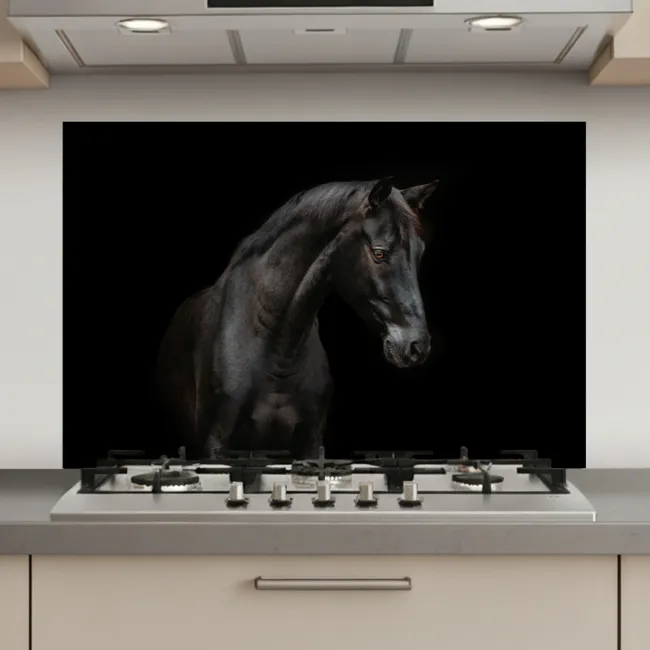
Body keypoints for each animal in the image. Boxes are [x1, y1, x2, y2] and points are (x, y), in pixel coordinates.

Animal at [155, 177, 438, 460]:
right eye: (379, 253)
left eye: (420, 252)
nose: (416, 346)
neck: (278, 349)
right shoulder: (216, 445)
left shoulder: (310, 445)